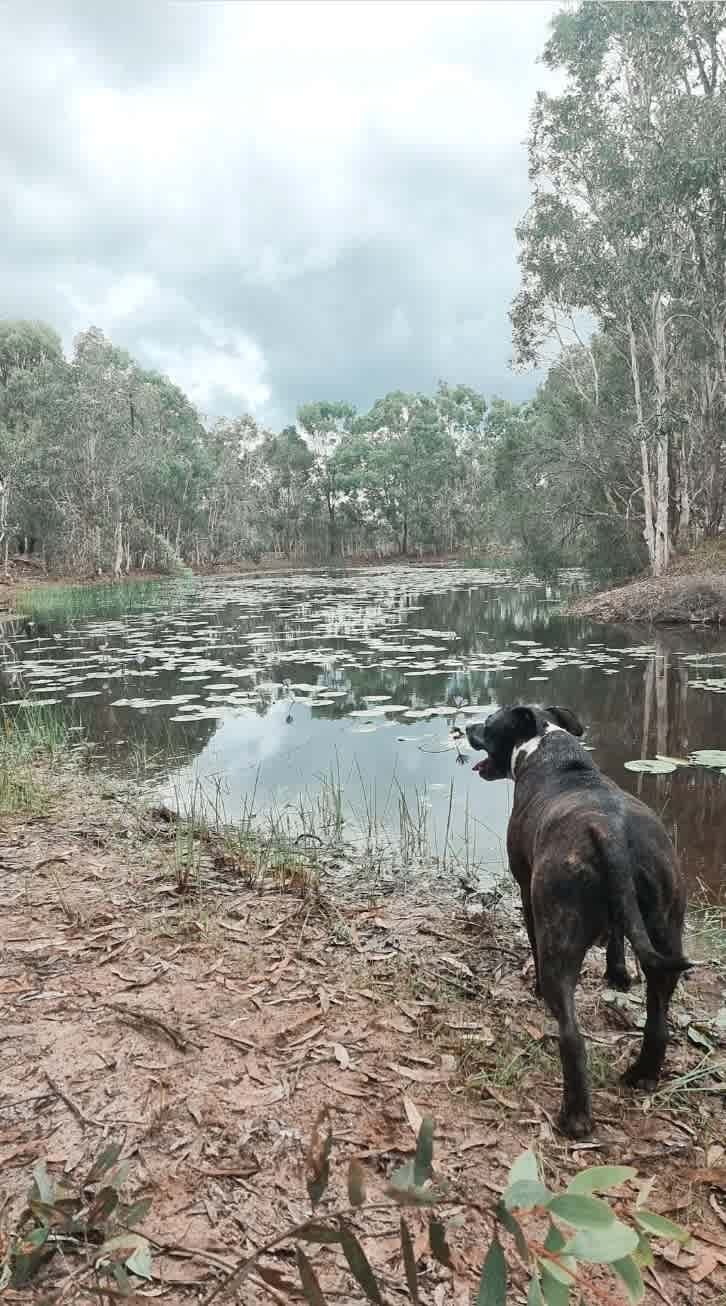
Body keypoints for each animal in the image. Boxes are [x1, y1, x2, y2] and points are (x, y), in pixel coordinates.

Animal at [464, 700, 684, 1138]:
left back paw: (575, 1117)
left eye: (490, 723)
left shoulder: (526, 889)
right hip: (666, 935)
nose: (466, 727)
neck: (551, 752)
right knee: (658, 1019)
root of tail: (612, 834)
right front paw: (618, 975)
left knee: (572, 1037)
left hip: (559, 940)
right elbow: (616, 936)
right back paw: (642, 1074)